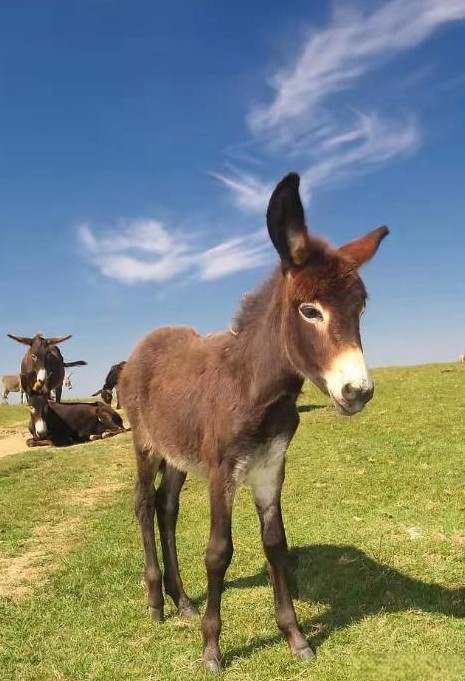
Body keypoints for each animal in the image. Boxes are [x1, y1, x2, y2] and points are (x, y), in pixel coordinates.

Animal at [118, 171, 386, 668]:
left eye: (359, 309)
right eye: (309, 310)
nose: (357, 392)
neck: (254, 389)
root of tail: (149, 339)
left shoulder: (270, 467)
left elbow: (276, 546)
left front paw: (295, 637)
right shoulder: (222, 472)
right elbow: (218, 552)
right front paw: (211, 648)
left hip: (180, 456)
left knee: (167, 509)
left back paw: (182, 600)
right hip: (146, 444)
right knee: (144, 506)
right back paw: (157, 603)